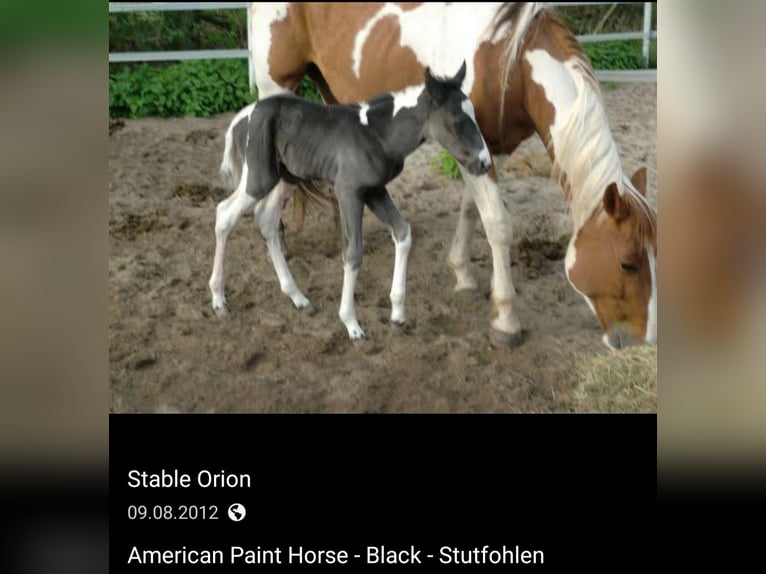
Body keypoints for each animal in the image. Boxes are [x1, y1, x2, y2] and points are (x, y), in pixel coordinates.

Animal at [208, 63, 491, 340]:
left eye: (476, 116)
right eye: (457, 122)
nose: (484, 163)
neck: (379, 135)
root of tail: (241, 117)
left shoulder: (375, 191)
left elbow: (403, 232)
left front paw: (398, 314)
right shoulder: (348, 192)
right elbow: (353, 251)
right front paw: (351, 324)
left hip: (286, 177)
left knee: (265, 219)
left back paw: (298, 298)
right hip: (259, 179)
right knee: (224, 214)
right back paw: (218, 299)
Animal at [246, 2, 657, 350]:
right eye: (628, 264)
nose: (643, 339)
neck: (507, 57)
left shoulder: (488, 151)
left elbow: (471, 210)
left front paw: (463, 275)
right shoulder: (471, 149)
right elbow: (497, 223)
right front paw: (505, 321)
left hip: (332, 96)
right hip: (277, 88)